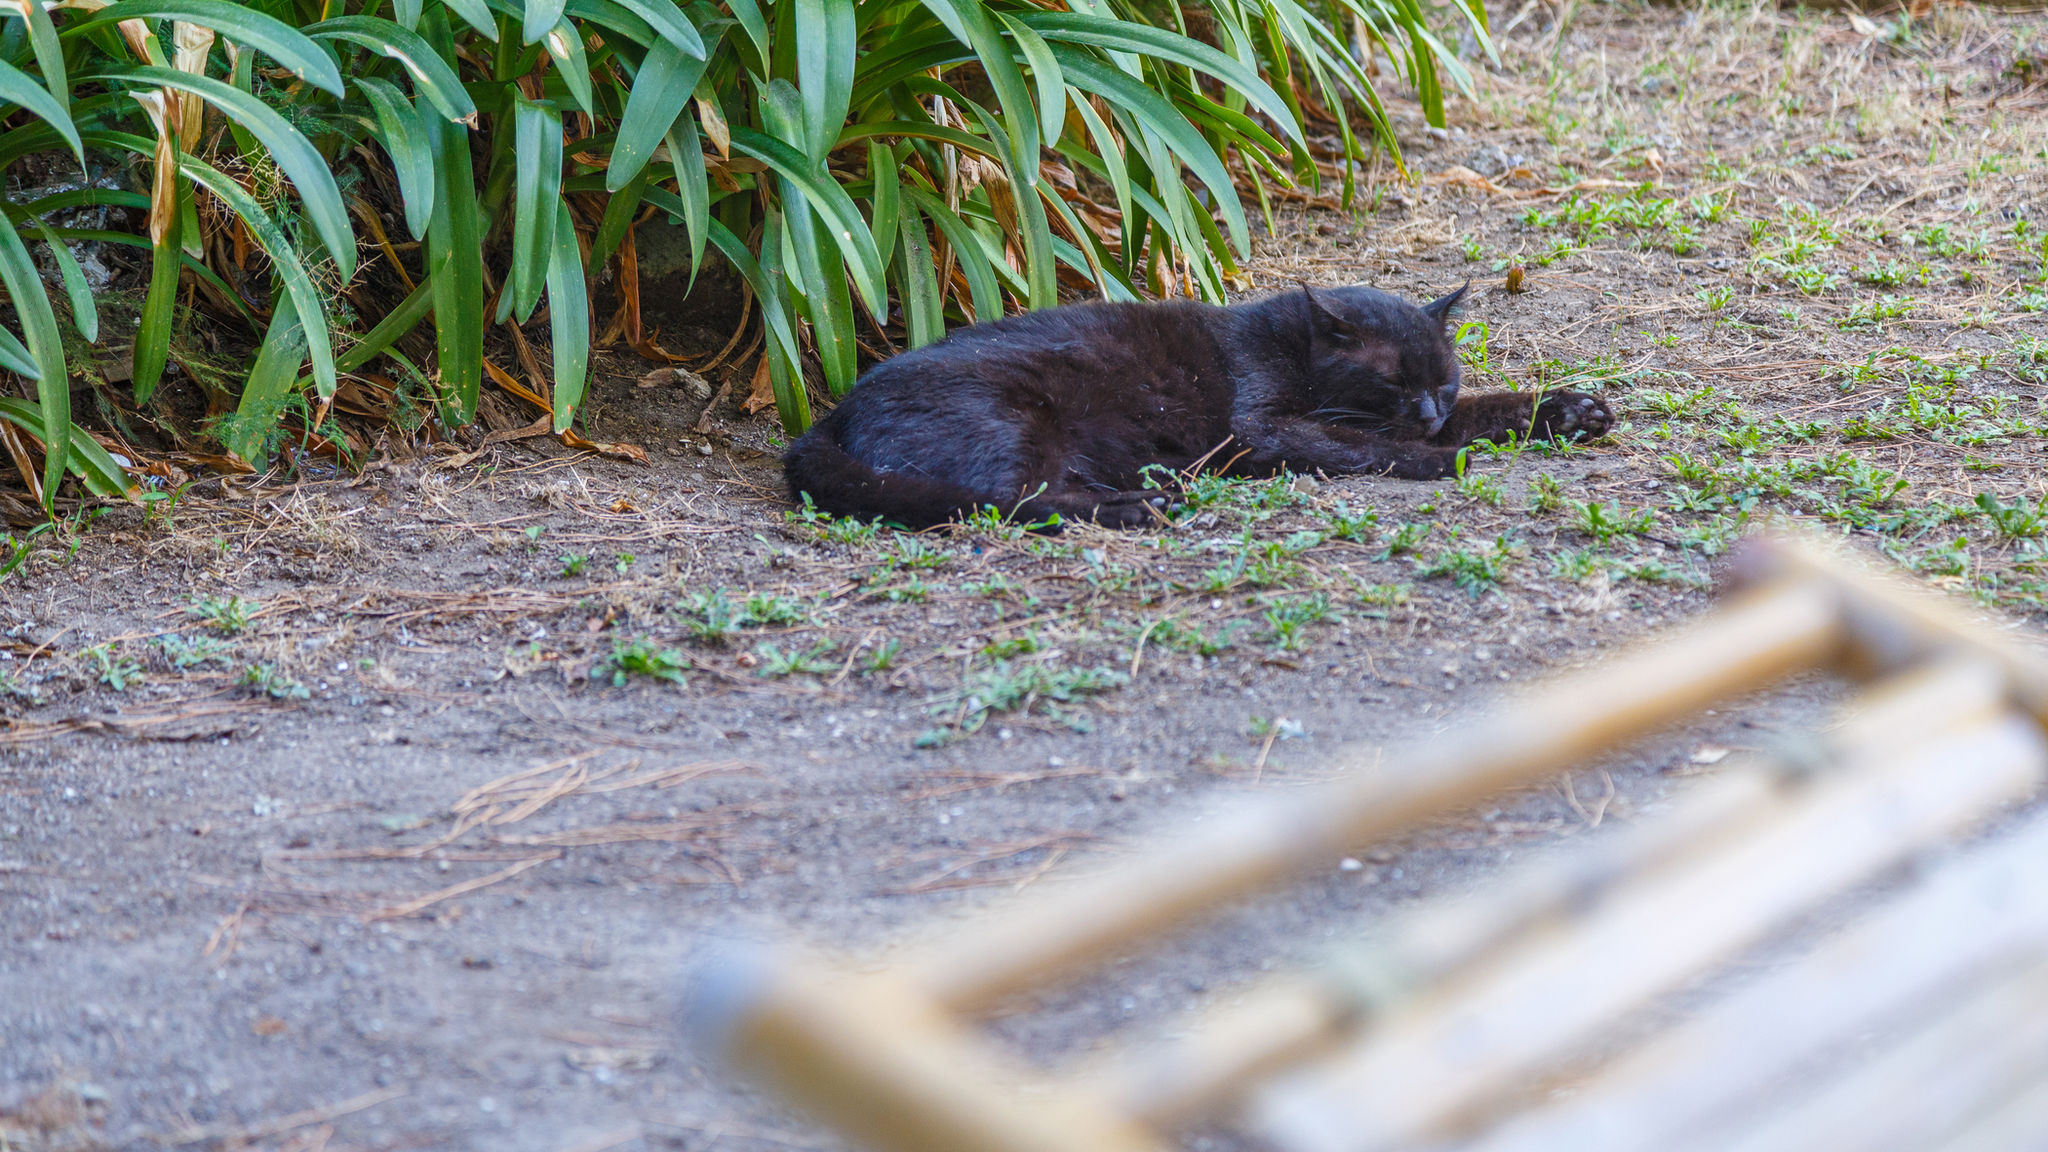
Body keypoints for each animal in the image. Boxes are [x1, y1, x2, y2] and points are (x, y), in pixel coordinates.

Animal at [782, 284, 1613, 528]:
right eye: (1391, 382)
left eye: (1442, 382)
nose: (1430, 415)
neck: (1281, 341)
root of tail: (831, 414)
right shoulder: (1259, 429)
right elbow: (1357, 445)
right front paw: (1435, 458)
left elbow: (1497, 407)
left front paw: (1573, 410)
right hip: (1009, 417)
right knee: (1011, 498)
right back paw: (1142, 504)